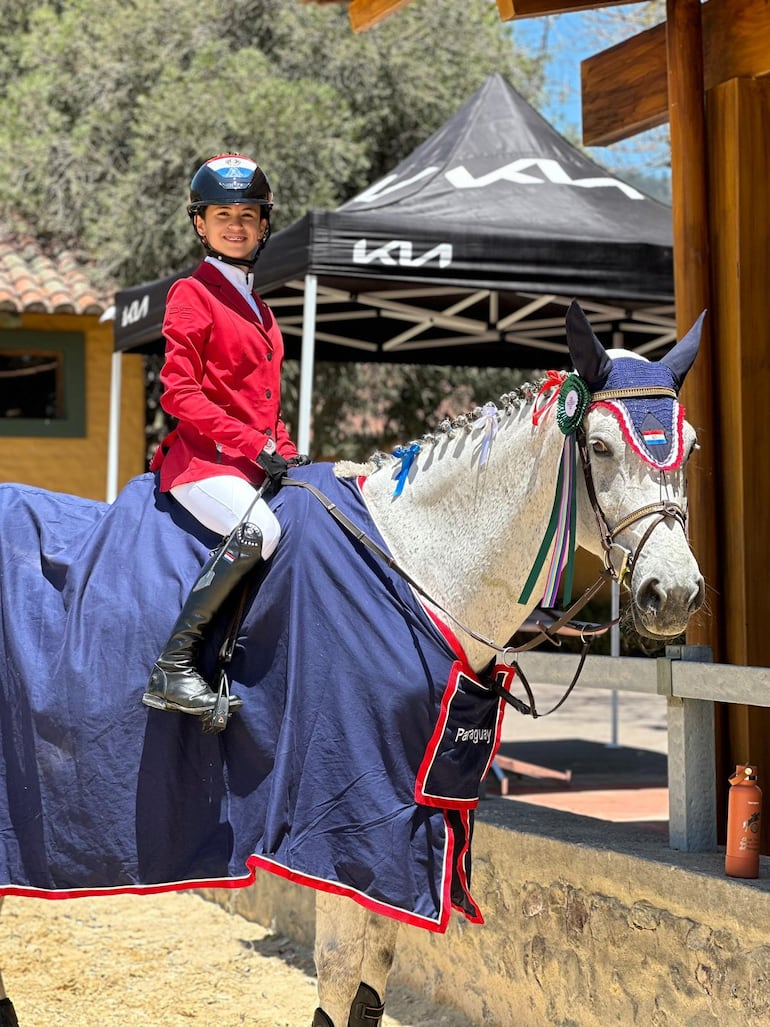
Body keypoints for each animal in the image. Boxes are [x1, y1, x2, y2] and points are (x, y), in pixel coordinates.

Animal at [0, 299, 706, 1027]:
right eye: (600, 447)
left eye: (691, 446)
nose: (675, 592)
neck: (411, 568)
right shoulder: (341, 812)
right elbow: (339, 972)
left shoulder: (407, 813)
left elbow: (375, 972)